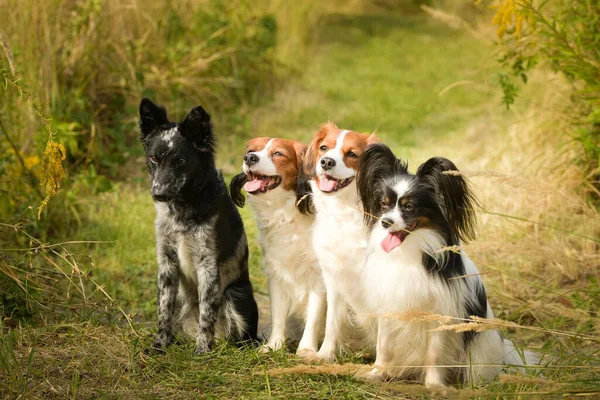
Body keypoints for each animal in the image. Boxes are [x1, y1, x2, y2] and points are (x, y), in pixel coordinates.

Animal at [139, 98, 258, 354]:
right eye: (154, 159)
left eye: (181, 161)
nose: (159, 194)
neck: (184, 205)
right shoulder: (167, 262)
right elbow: (163, 311)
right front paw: (160, 345)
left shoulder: (208, 264)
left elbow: (207, 310)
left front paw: (202, 350)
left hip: (236, 294)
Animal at [230, 138, 326, 356]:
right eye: (251, 150)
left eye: (278, 154)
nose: (249, 158)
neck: (287, 214)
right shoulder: (276, 272)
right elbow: (278, 314)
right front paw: (275, 345)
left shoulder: (319, 276)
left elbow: (314, 316)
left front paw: (306, 350)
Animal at [298, 122, 378, 362]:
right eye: (324, 148)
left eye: (352, 154)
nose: (326, 162)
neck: (344, 214)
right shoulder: (333, 277)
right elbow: (332, 322)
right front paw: (324, 355)